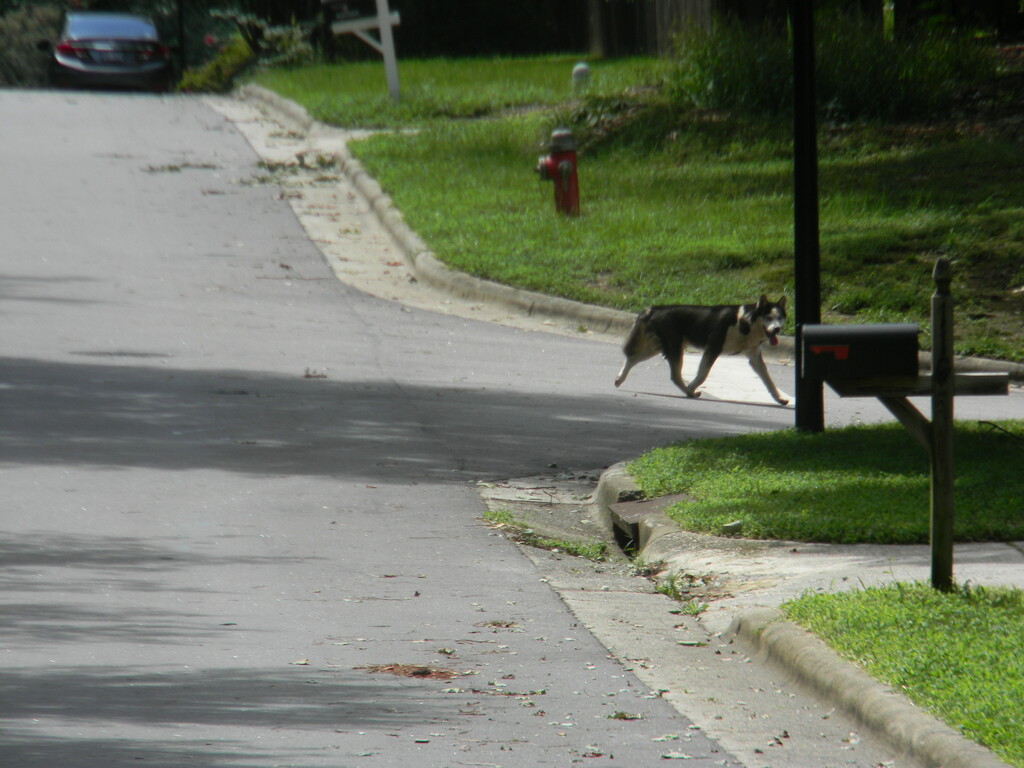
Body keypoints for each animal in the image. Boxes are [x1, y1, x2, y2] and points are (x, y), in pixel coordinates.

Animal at [614, 294, 790, 405]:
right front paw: (692, 387)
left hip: (657, 347)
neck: (746, 322)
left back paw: (619, 379)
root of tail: (654, 309)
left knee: (632, 358)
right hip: (673, 349)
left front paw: (780, 399)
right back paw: (689, 392)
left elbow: (768, 381)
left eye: (780, 318)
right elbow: (703, 374)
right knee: (674, 375)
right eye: (768, 317)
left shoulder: (754, 357)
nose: (777, 329)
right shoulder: (713, 349)